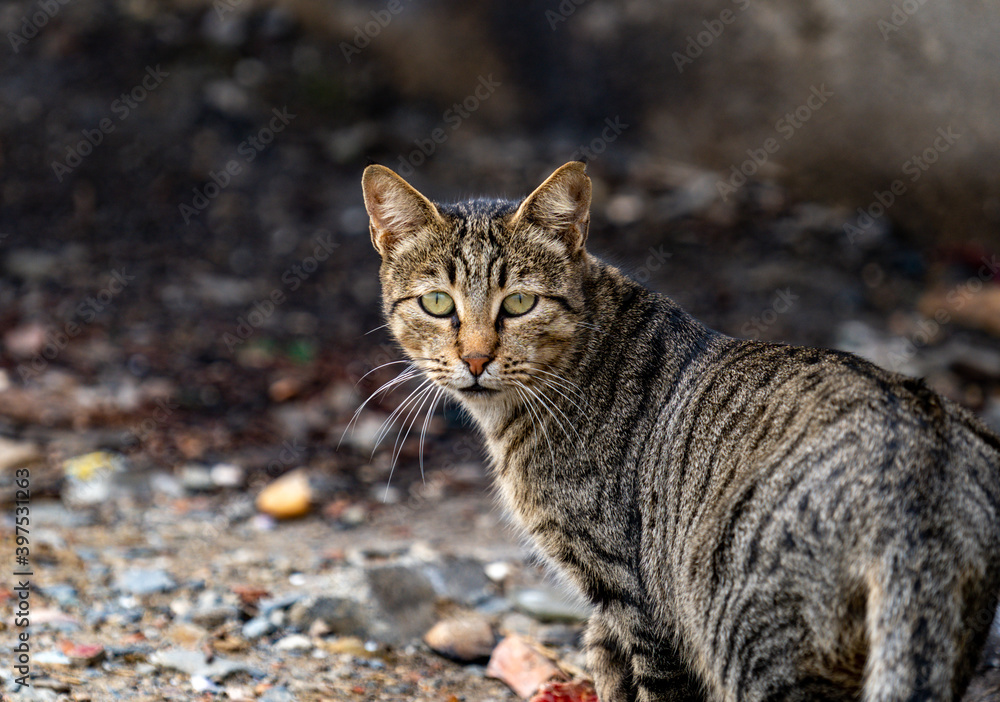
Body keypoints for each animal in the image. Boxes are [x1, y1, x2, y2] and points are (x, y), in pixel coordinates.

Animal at [362, 162, 1000, 700]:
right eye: (437, 302)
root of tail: (921, 449)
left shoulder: (637, 601)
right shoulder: (608, 616)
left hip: (751, 631)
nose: (475, 359)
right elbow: (605, 664)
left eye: (518, 302)